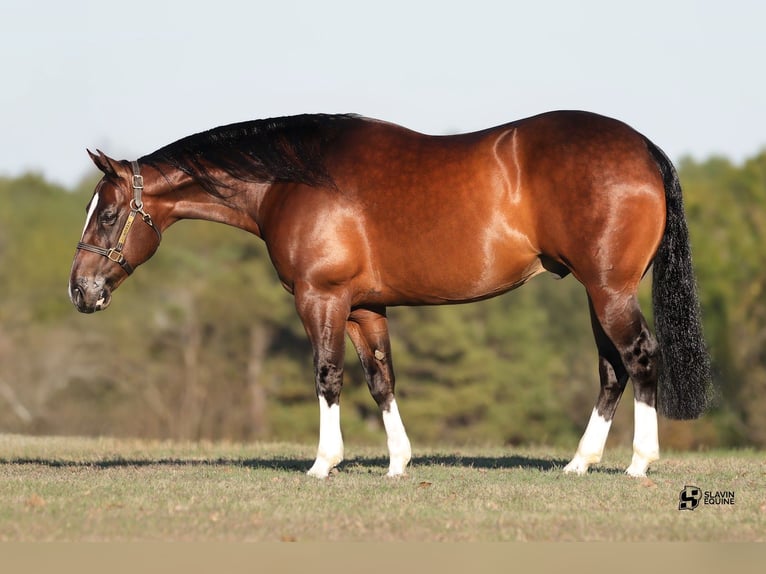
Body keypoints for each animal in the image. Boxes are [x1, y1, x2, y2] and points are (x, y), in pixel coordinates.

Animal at [69, 110, 712, 478]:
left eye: (107, 214)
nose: (79, 290)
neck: (290, 180)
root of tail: (643, 148)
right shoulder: (364, 307)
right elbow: (381, 378)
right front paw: (398, 464)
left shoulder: (321, 298)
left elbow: (328, 375)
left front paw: (323, 464)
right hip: (599, 293)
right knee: (612, 370)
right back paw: (580, 463)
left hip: (609, 291)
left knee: (640, 358)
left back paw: (638, 465)